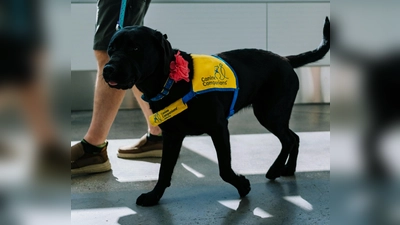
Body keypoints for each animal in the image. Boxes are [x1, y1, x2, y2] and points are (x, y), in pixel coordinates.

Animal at [104, 17, 332, 206]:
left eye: (135, 48)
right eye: (110, 49)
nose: (107, 69)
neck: (172, 81)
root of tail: (285, 59)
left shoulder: (219, 127)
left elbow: (224, 168)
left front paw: (242, 186)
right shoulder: (172, 136)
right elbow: (164, 171)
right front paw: (154, 196)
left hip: (270, 113)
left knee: (289, 139)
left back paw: (276, 169)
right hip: (273, 114)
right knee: (294, 138)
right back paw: (288, 169)